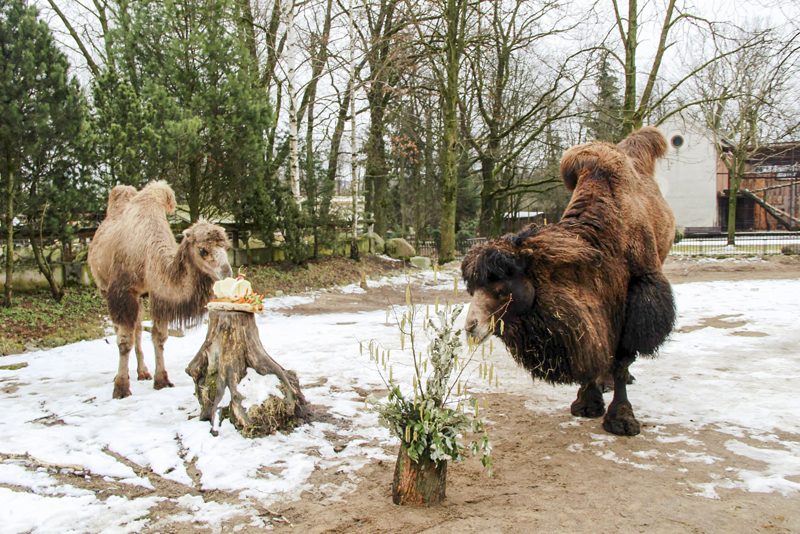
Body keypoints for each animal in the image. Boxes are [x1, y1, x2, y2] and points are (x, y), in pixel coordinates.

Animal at [92, 183, 234, 398]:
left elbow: (159, 336)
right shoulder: (122, 292)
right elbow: (124, 340)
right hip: (103, 288)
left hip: (140, 297)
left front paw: (162, 380)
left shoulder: (157, 294)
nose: (227, 273)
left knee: (138, 328)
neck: (147, 256)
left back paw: (143, 372)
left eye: (226, 246)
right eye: (203, 250)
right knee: (123, 330)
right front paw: (121, 388)